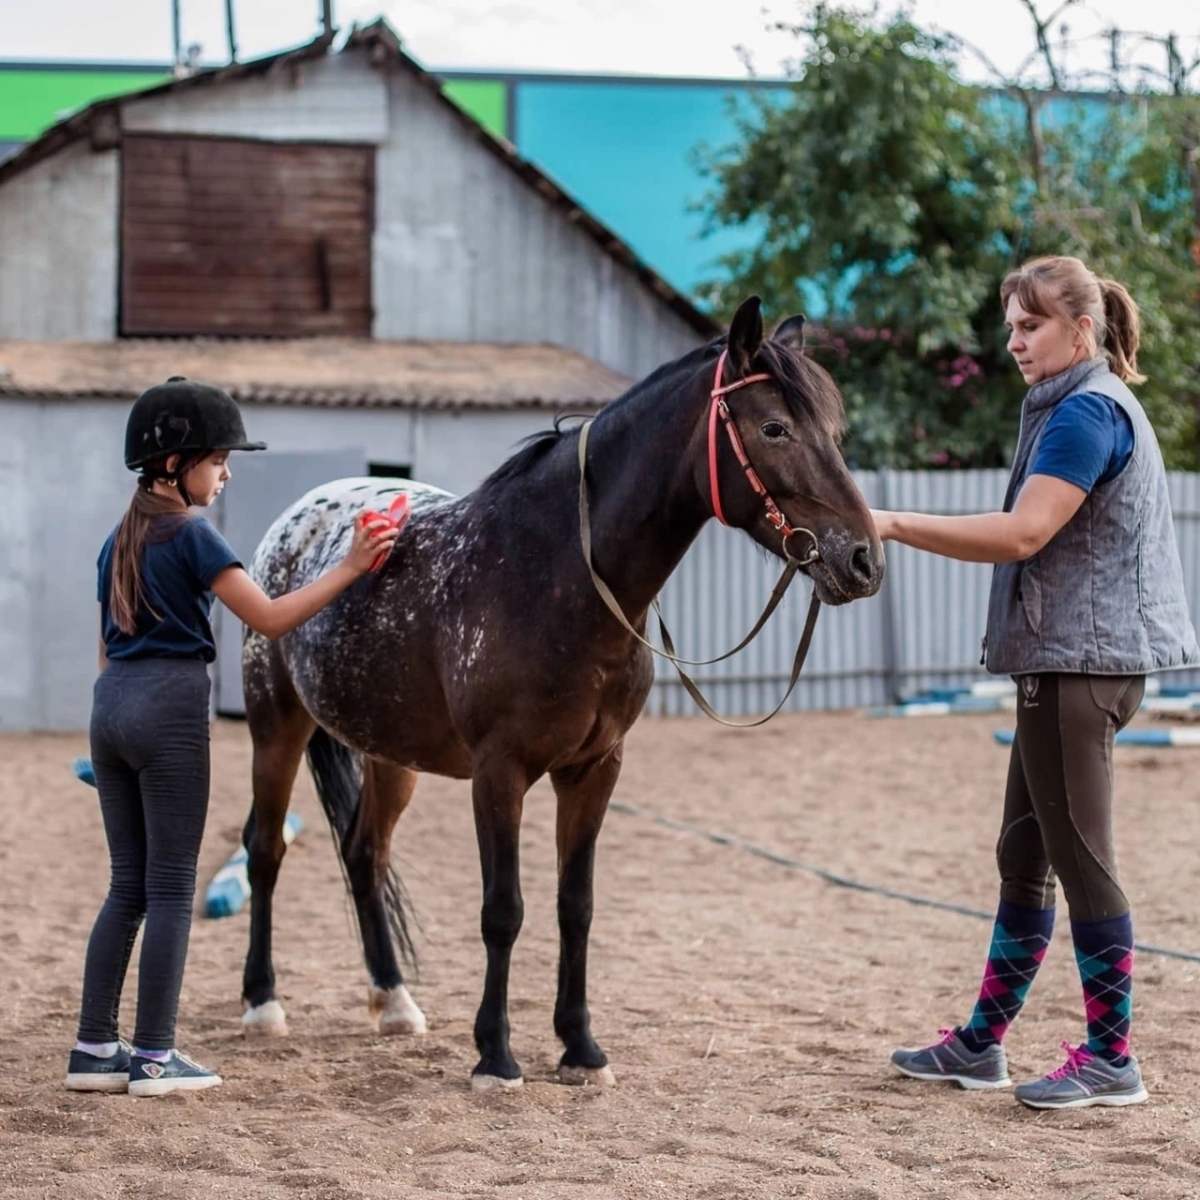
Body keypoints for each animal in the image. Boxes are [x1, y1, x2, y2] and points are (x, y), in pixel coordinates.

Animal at [238, 297, 888, 1089]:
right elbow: (503, 910)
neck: (556, 575)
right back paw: (263, 1005)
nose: (861, 560)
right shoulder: (500, 773)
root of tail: (296, 520)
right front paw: (496, 1055)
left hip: (391, 755)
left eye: (834, 431)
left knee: (364, 855)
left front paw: (580, 1047)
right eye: (774, 429)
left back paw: (395, 1003)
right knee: (264, 850)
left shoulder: (594, 770)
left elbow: (575, 906)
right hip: (276, 726)